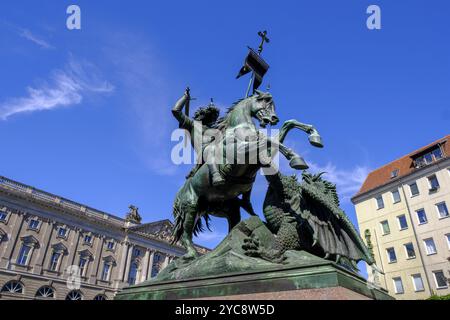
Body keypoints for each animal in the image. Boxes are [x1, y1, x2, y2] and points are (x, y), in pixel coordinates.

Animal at [172, 90, 324, 260]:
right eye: (265, 100)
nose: (273, 119)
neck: (240, 127)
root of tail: (179, 194)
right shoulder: (239, 153)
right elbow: (268, 140)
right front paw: (295, 158)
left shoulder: (260, 156)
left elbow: (281, 131)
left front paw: (313, 135)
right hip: (191, 206)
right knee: (186, 234)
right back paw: (192, 254)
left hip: (224, 208)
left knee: (232, 224)